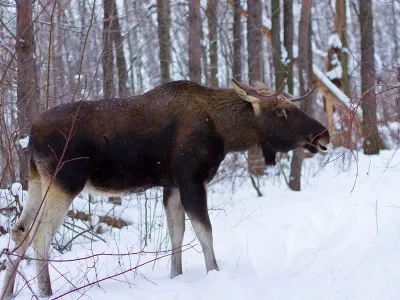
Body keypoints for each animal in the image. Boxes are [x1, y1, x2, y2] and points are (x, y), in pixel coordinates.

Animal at [1, 78, 330, 298]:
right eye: (281, 112)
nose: (323, 134)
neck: (225, 133)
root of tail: (30, 135)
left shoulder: (171, 185)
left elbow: (177, 233)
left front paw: (176, 275)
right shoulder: (191, 179)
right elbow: (204, 232)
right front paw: (214, 273)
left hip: (38, 180)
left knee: (19, 230)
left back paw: (10, 291)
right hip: (64, 181)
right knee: (41, 235)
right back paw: (45, 292)